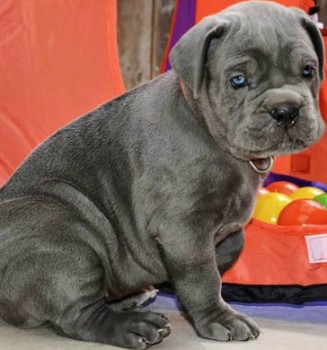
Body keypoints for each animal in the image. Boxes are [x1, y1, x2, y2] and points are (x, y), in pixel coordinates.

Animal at [0, 1, 326, 348]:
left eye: (308, 70)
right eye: (238, 80)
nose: (286, 110)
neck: (211, 133)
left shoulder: (225, 228)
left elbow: (228, 250)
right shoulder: (183, 227)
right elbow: (203, 277)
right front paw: (219, 318)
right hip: (62, 234)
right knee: (78, 316)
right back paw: (133, 325)